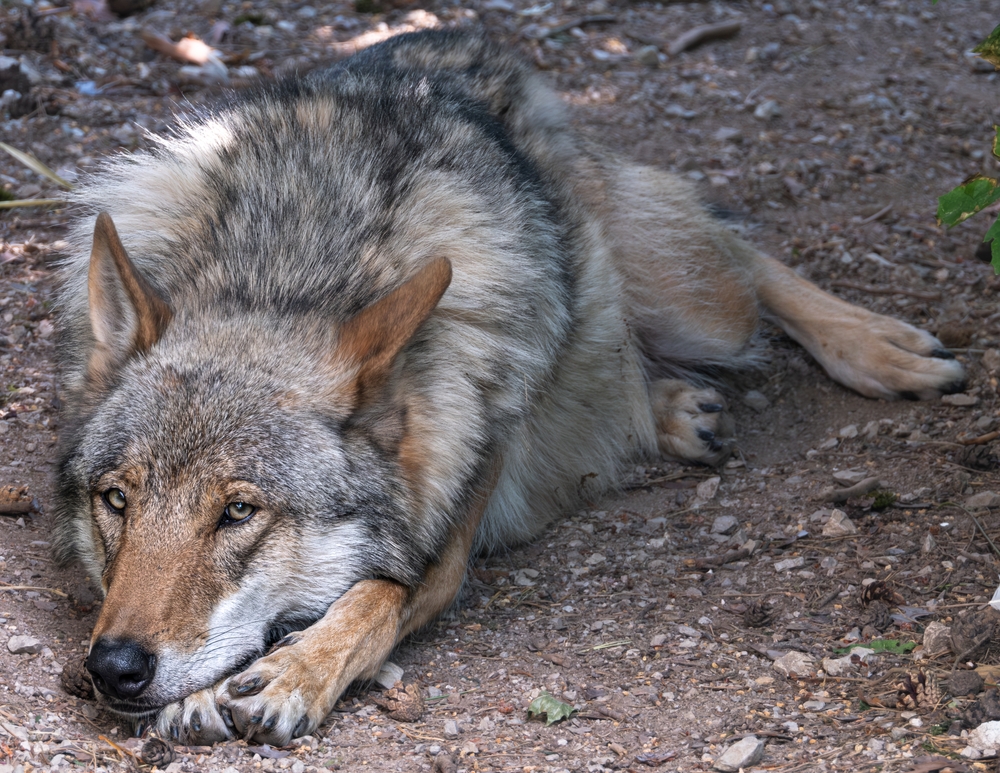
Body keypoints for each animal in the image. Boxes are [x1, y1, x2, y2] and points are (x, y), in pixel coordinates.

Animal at [52, 28, 960, 740]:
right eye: (117, 500)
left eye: (239, 512)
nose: (116, 667)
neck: (289, 270)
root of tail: (471, 41)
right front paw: (206, 689)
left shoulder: (452, 523)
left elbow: (376, 593)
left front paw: (291, 672)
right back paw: (670, 410)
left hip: (703, 305)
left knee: (741, 252)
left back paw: (882, 347)